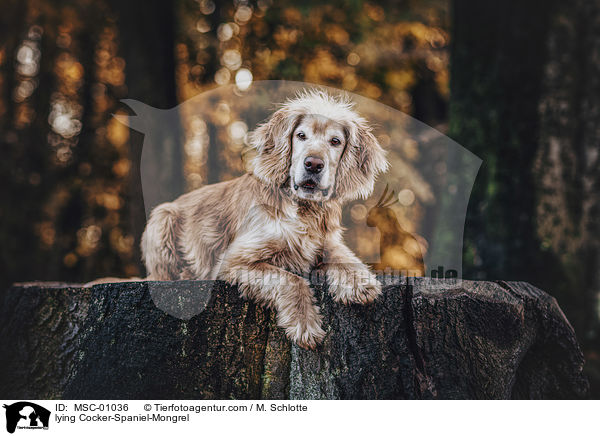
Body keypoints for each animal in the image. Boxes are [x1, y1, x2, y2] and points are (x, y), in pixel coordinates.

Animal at [141, 90, 390, 350]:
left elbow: (344, 257)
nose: (313, 164)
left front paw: (359, 282)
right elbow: (291, 280)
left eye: (335, 141)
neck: (304, 209)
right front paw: (305, 325)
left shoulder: (327, 242)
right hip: (162, 216)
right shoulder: (235, 261)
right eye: (301, 135)